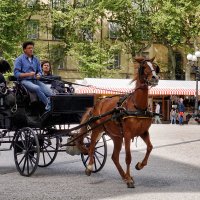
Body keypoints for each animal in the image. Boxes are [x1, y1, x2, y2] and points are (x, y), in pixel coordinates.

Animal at [76, 57, 159, 188]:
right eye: (144, 67)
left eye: (155, 67)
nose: (155, 78)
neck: (137, 106)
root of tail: (97, 103)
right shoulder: (128, 134)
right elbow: (128, 157)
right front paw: (129, 179)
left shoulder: (144, 132)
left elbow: (150, 147)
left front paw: (139, 166)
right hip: (97, 129)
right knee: (92, 147)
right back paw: (89, 167)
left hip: (117, 137)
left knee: (114, 157)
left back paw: (124, 176)